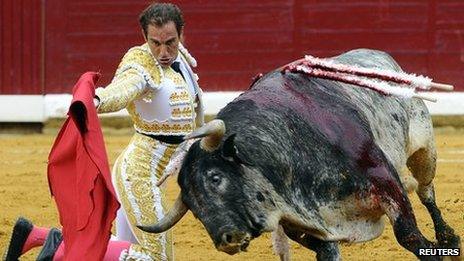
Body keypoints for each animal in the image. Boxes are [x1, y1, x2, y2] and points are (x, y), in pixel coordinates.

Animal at [138, 48, 460, 258]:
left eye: (216, 178)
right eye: (192, 205)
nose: (226, 239)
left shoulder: (383, 179)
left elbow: (409, 235)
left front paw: (438, 248)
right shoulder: (299, 223)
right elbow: (327, 252)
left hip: (424, 150)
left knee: (426, 192)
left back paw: (449, 237)